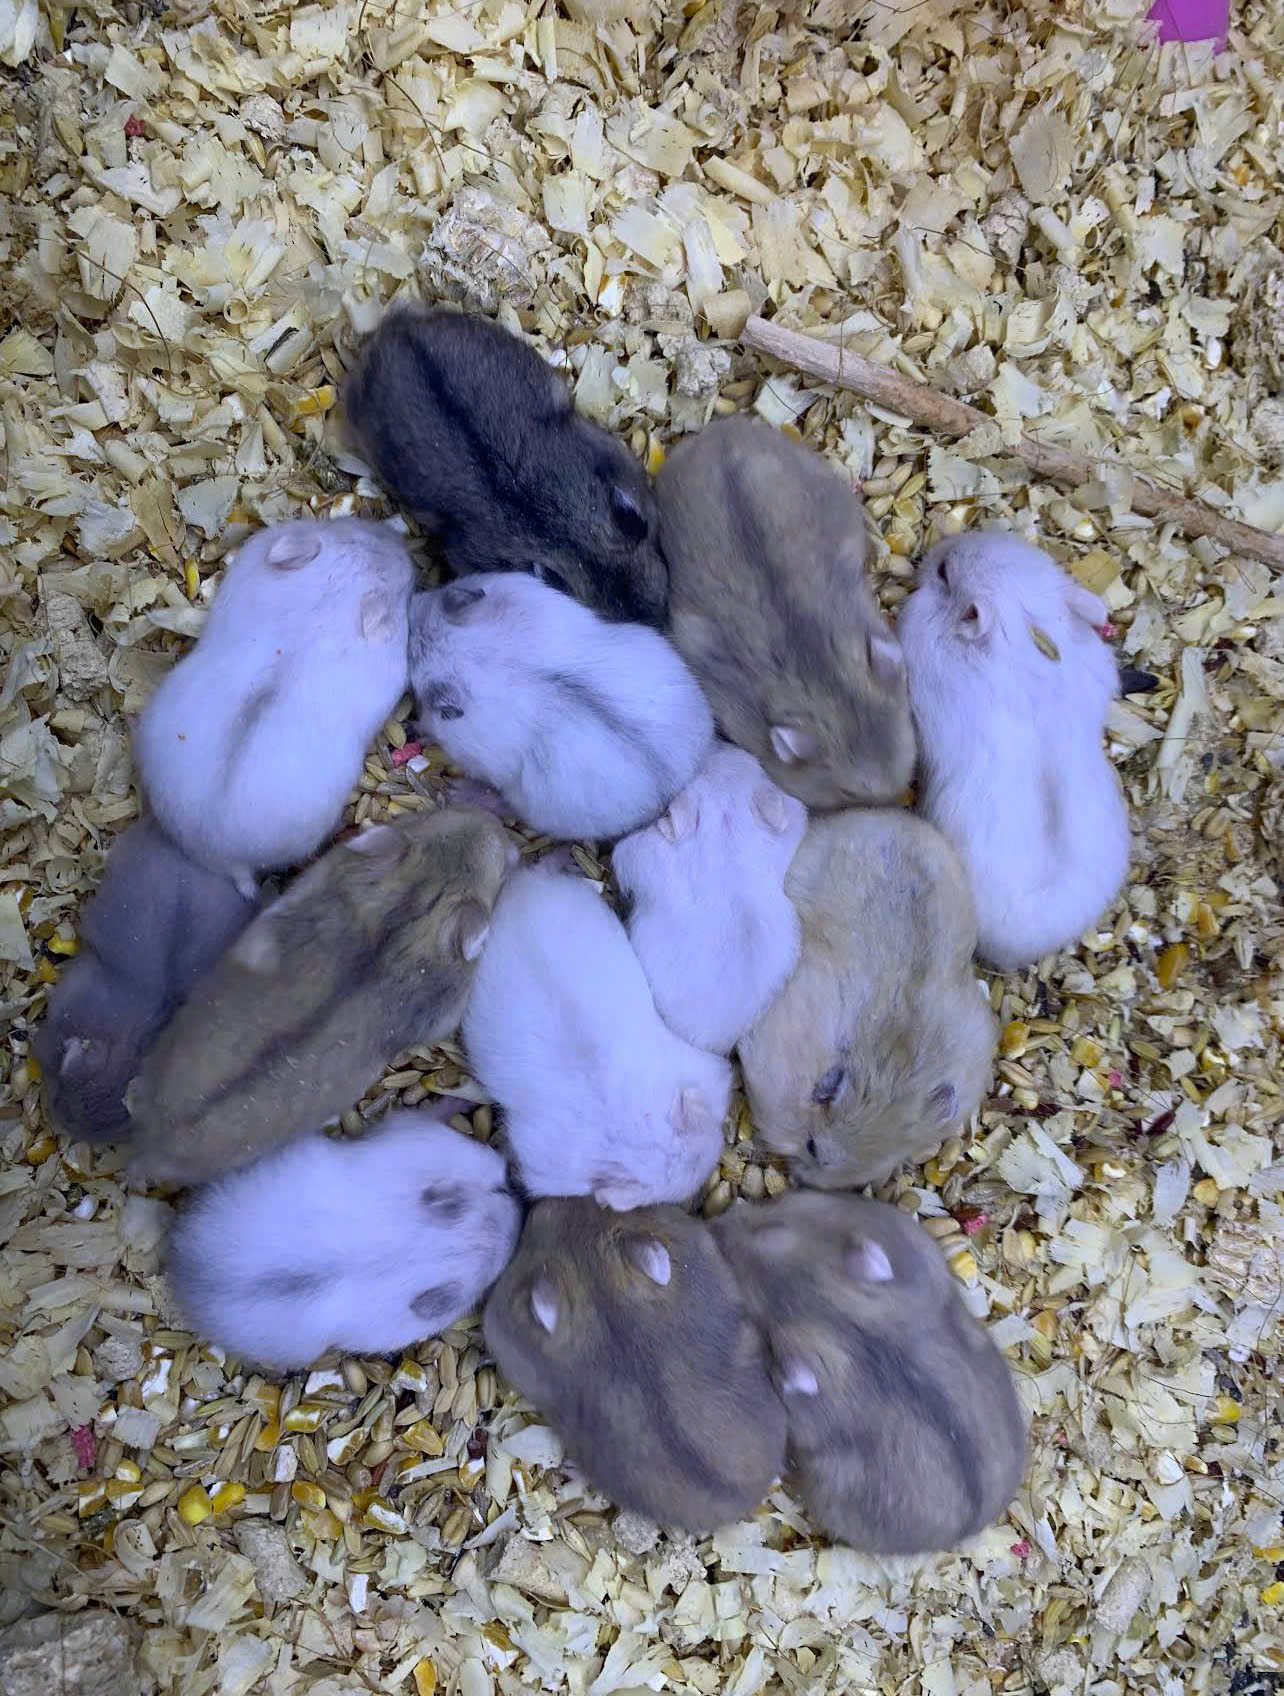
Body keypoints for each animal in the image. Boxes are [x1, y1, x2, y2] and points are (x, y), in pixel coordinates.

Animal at [409, 573, 715, 842]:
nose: (413, 600)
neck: (476, 653)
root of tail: (681, 783)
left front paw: (418, 726)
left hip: (535, 806)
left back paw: (460, 791)